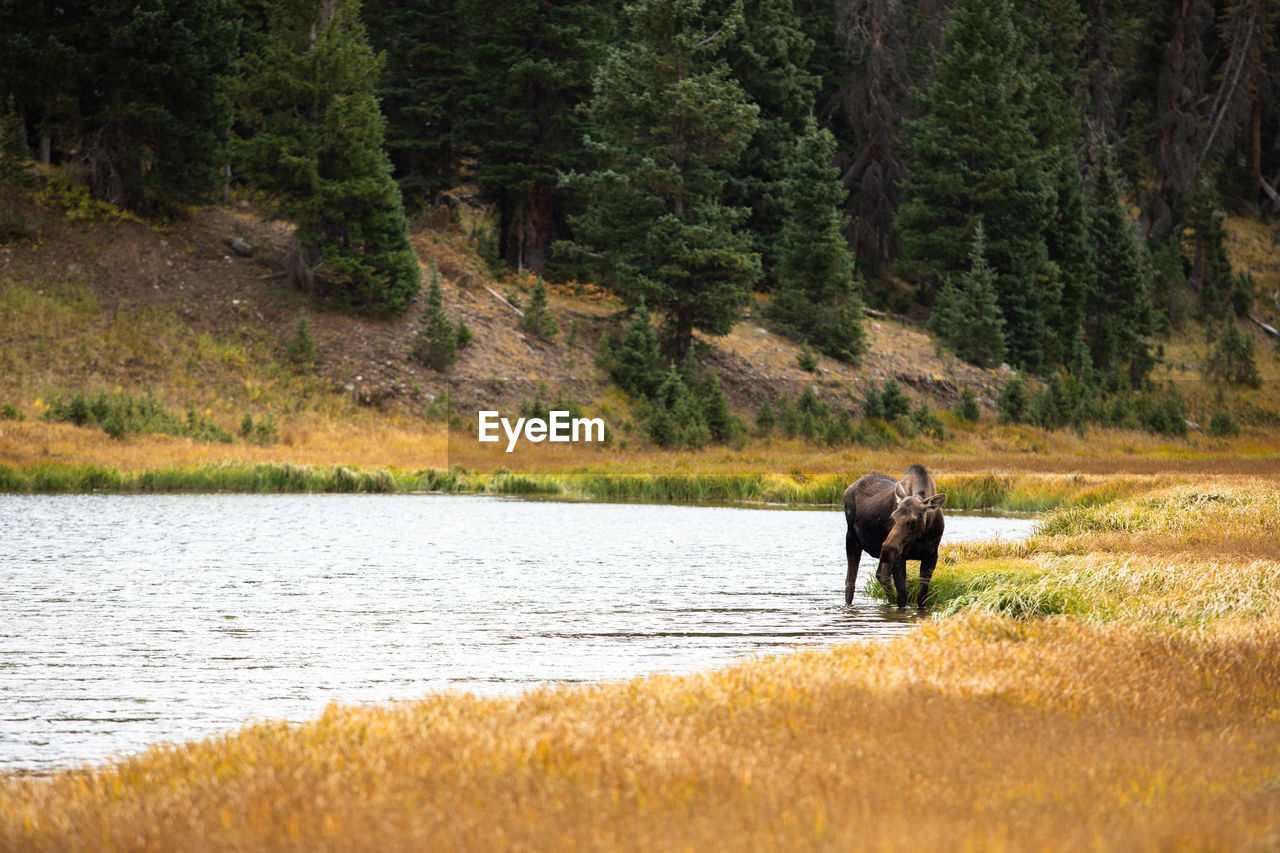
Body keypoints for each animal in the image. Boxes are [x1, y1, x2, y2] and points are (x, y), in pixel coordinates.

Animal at [844, 466, 947, 604]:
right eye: (892, 517)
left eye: (913, 521)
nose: (887, 549)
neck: (922, 537)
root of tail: (848, 488)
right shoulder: (899, 557)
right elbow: (902, 597)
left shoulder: (931, 555)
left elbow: (921, 597)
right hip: (851, 538)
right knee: (850, 581)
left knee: (881, 576)